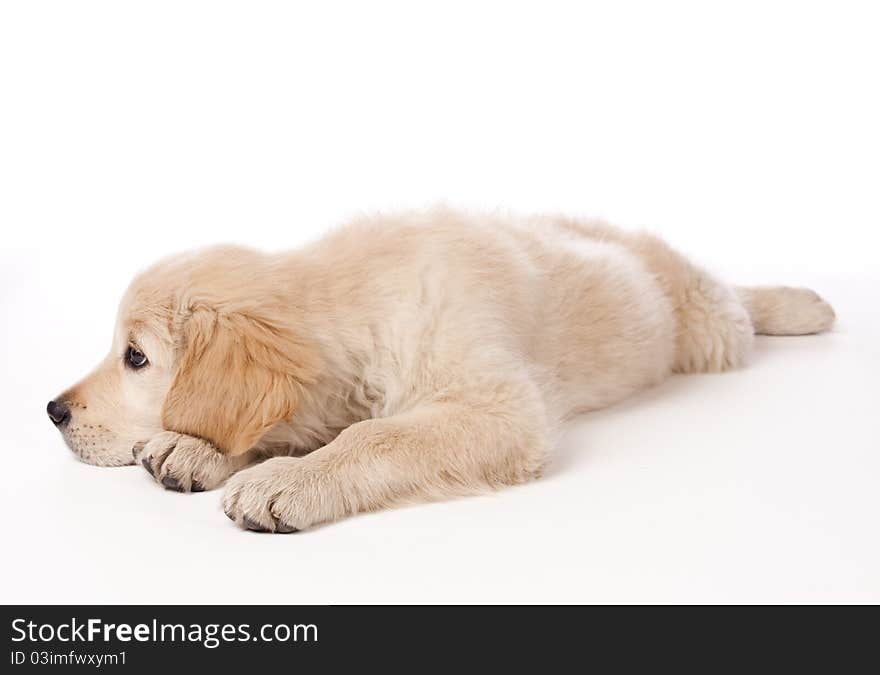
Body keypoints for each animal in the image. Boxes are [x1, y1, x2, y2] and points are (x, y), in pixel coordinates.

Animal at [44, 209, 836, 532]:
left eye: (136, 357)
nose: (52, 410)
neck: (354, 297)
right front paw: (193, 447)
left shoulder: (498, 403)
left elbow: (376, 435)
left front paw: (283, 481)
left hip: (705, 324)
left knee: (737, 301)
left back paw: (805, 305)